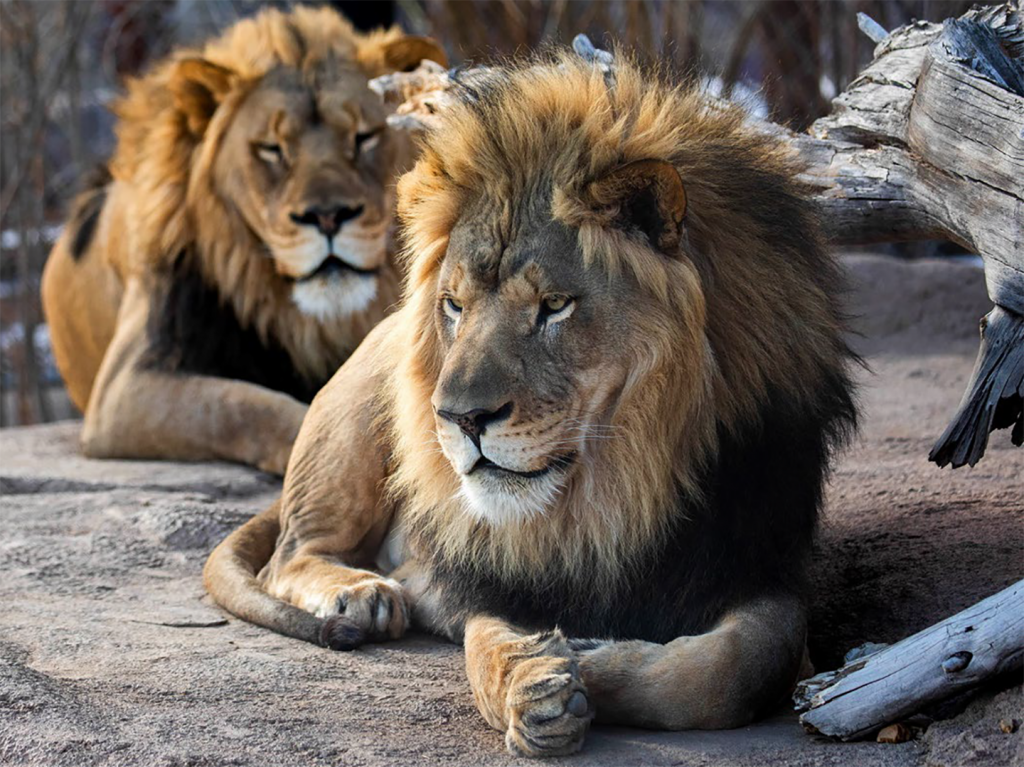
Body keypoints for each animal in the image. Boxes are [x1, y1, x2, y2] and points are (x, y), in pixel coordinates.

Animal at [204, 51, 857, 756]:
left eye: (554, 306)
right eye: (454, 306)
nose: (459, 418)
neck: (618, 494)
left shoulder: (760, 563)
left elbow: (741, 666)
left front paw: (592, 658)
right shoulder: (501, 580)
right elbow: (486, 646)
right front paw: (535, 683)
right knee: (290, 552)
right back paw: (362, 594)